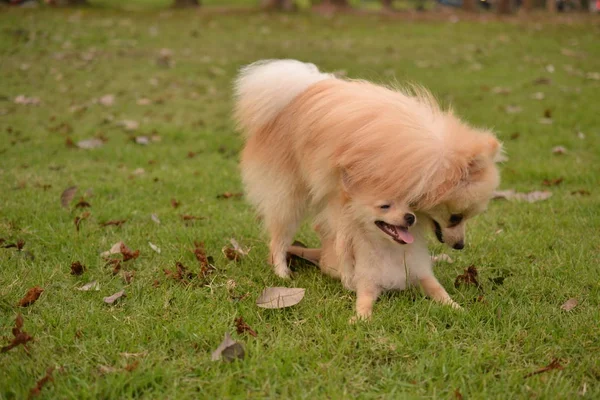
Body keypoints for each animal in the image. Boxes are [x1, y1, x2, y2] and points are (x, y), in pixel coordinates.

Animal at [234, 59, 502, 318]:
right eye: (456, 217)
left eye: (465, 217)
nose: (460, 246)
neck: (422, 164)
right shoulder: (346, 196)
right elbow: (346, 241)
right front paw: (348, 275)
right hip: (290, 194)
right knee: (280, 236)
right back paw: (282, 272)